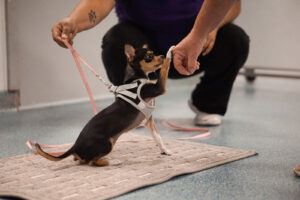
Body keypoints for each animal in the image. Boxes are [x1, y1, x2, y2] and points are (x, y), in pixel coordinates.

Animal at [34, 44, 171, 166]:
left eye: (153, 53)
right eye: (149, 56)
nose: (162, 55)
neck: (137, 78)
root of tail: (75, 146)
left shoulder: (149, 121)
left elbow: (158, 138)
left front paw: (165, 151)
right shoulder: (159, 88)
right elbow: (164, 68)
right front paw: (170, 52)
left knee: (81, 159)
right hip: (107, 144)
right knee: (92, 162)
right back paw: (113, 161)